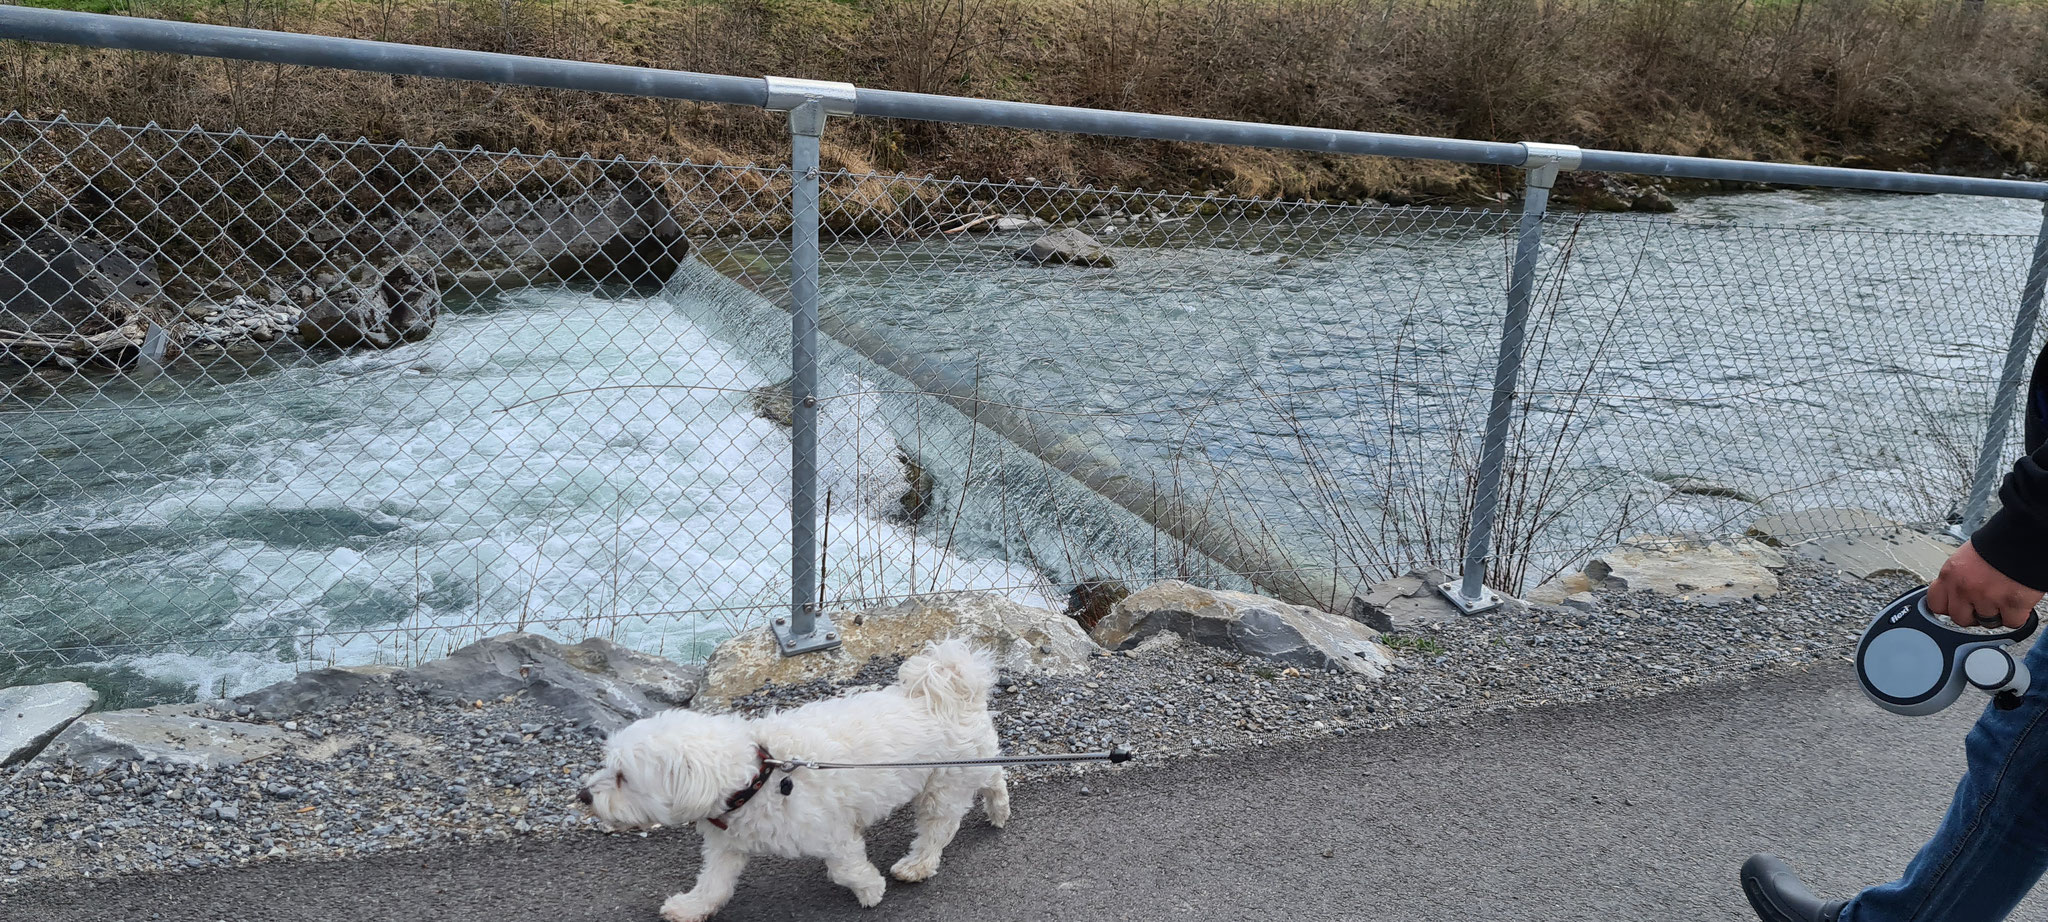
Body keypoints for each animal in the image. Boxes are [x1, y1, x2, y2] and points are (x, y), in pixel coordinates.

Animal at [577, 639, 1007, 922]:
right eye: (607, 765)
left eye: (622, 777)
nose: (583, 796)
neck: (758, 778)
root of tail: (952, 690)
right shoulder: (727, 844)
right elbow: (714, 883)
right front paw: (690, 907)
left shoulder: (833, 832)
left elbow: (844, 868)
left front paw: (870, 890)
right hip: (967, 763)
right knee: (995, 773)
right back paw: (999, 809)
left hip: (943, 782)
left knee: (939, 826)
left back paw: (917, 864)